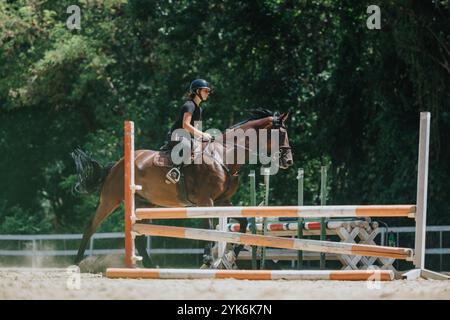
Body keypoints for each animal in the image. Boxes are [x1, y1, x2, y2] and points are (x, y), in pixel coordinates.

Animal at [72, 109, 294, 268]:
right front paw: (208, 258)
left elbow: (243, 222)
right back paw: (76, 262)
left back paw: (151, 267)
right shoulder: (206, 201)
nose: (288, 161)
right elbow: (209, 227)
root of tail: (118, 164)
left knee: (141, 239)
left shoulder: (223, 201)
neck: (224, 155)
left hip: (144, 204)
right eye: (281, 133)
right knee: (91, 225)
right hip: (111, 199)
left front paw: (231, 255)